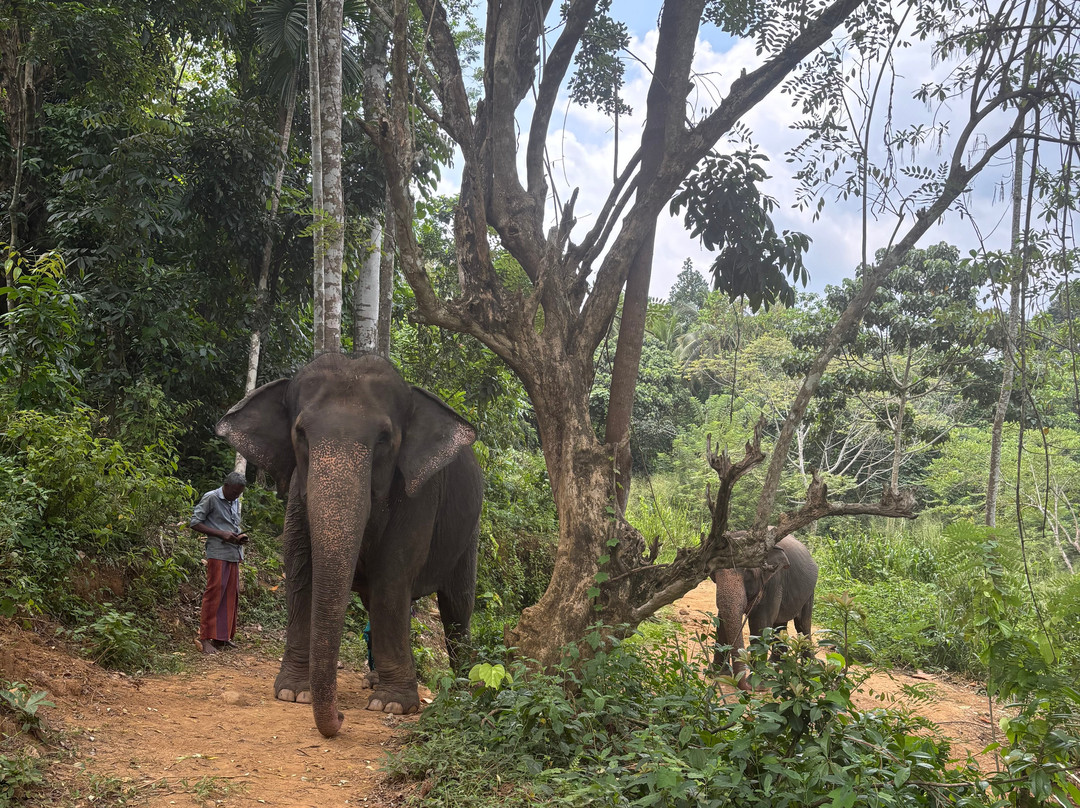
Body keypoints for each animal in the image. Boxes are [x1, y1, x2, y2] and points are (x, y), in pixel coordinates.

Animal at [215, 352, 482, 737]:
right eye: (300, 434)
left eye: (384, 439)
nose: (341, 717)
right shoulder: (298, 488)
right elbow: (299, 565)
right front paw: (294, 693)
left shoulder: (420, 495)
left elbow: (393, 575)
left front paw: (393, 705)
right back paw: (374, 681)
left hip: (470, 532)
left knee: (458, 605)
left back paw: (462, 686)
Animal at [712, 535, 818, 690]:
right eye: (714, 573)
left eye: (748, 572)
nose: (744, 686)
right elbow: (722, 620)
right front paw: (717, 674)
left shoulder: (774, 581)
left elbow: (759, 623)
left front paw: (757, 683)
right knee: (780, 626)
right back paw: (775, 667)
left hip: (809, 593)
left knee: (802, 625)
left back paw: (810, 670)